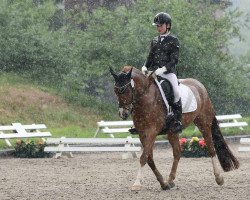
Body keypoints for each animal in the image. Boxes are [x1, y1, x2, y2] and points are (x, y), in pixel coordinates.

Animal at [110, 65, 239, 191]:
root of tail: (200, 85)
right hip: (173, 131)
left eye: (124, 90)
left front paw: (136, 184)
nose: (123, 113)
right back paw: (170, 180)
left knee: (211, 149)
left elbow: (143, 157)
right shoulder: (142, 133)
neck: (145, 97)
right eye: (115, 91)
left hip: (204, 124)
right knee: (177, 152)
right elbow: (149, 158)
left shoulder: (152, 131)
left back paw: (219, 178)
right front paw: (163, 183)